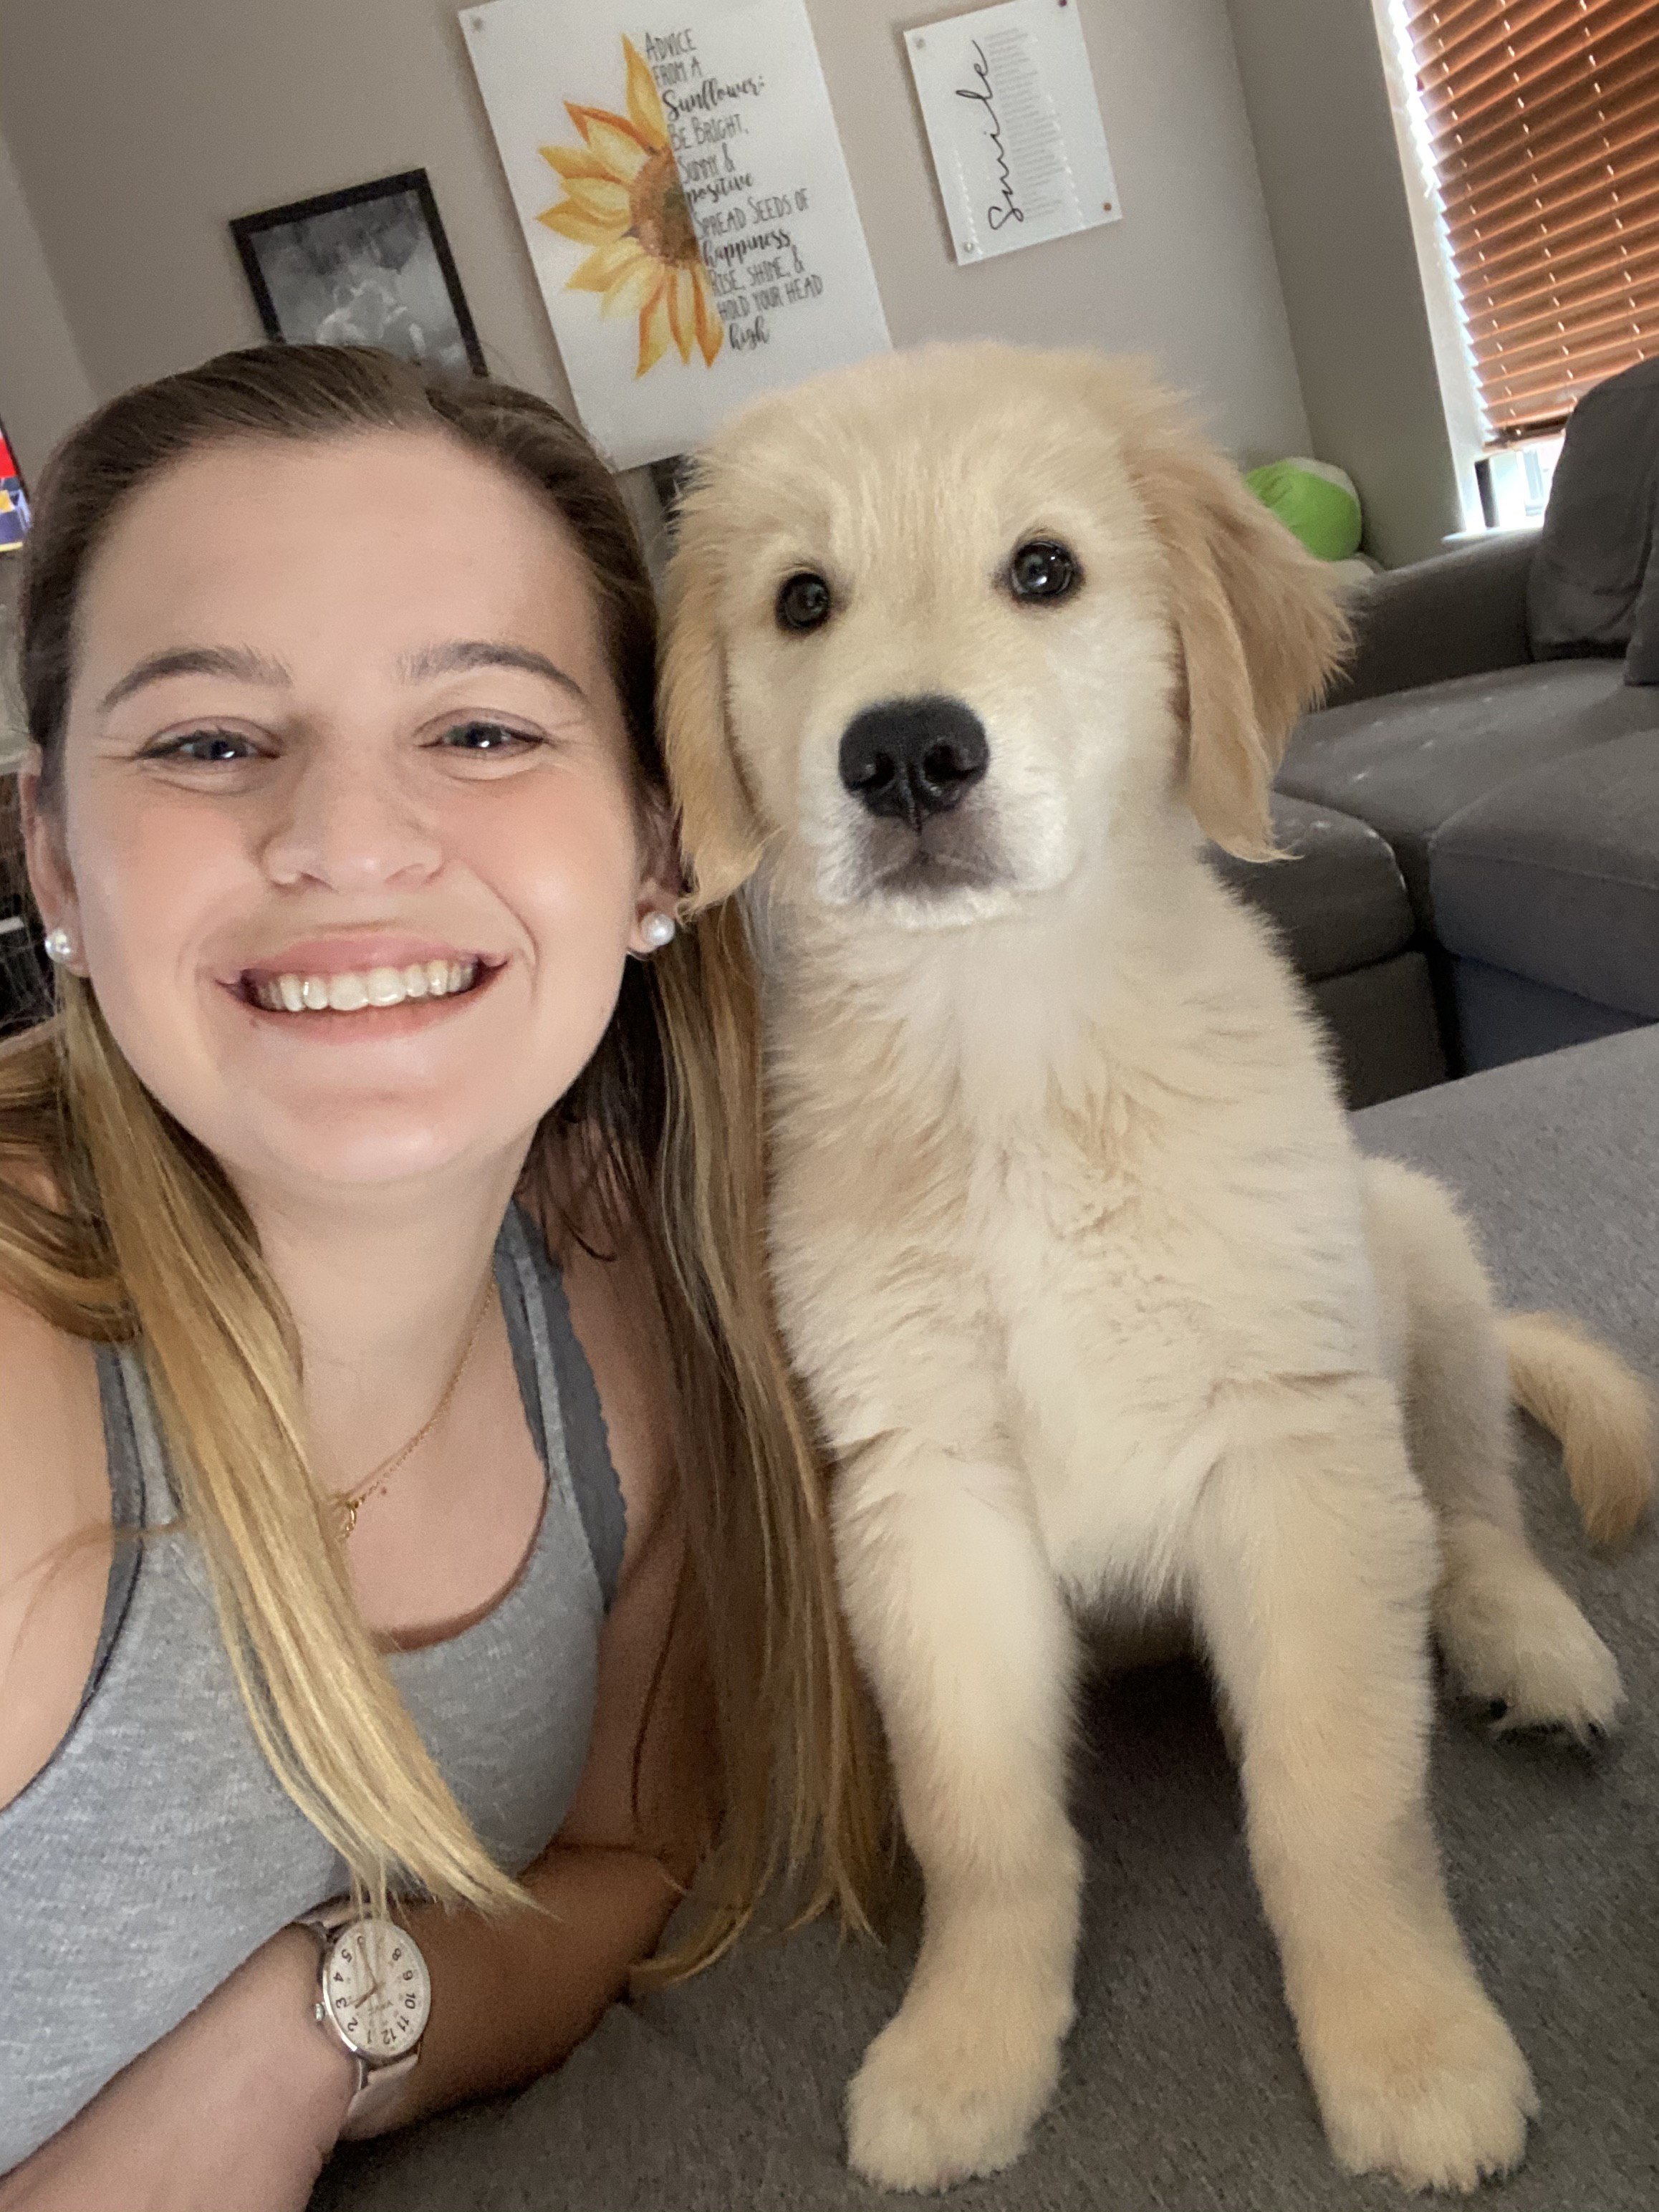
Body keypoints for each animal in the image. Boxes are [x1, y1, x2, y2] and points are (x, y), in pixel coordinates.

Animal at [658, 344, 1655, 2195]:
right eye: (802, 601)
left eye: (1043, 569)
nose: (904, 754)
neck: (1008, 1042)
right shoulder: (925, 1493)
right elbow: (979, 1821)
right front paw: (968, 2043)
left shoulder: (1294, 1446)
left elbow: (1335, 1799)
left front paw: (1404, 2043)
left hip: (1414, 1252)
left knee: (1473, 1506)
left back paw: (1524, 1644)